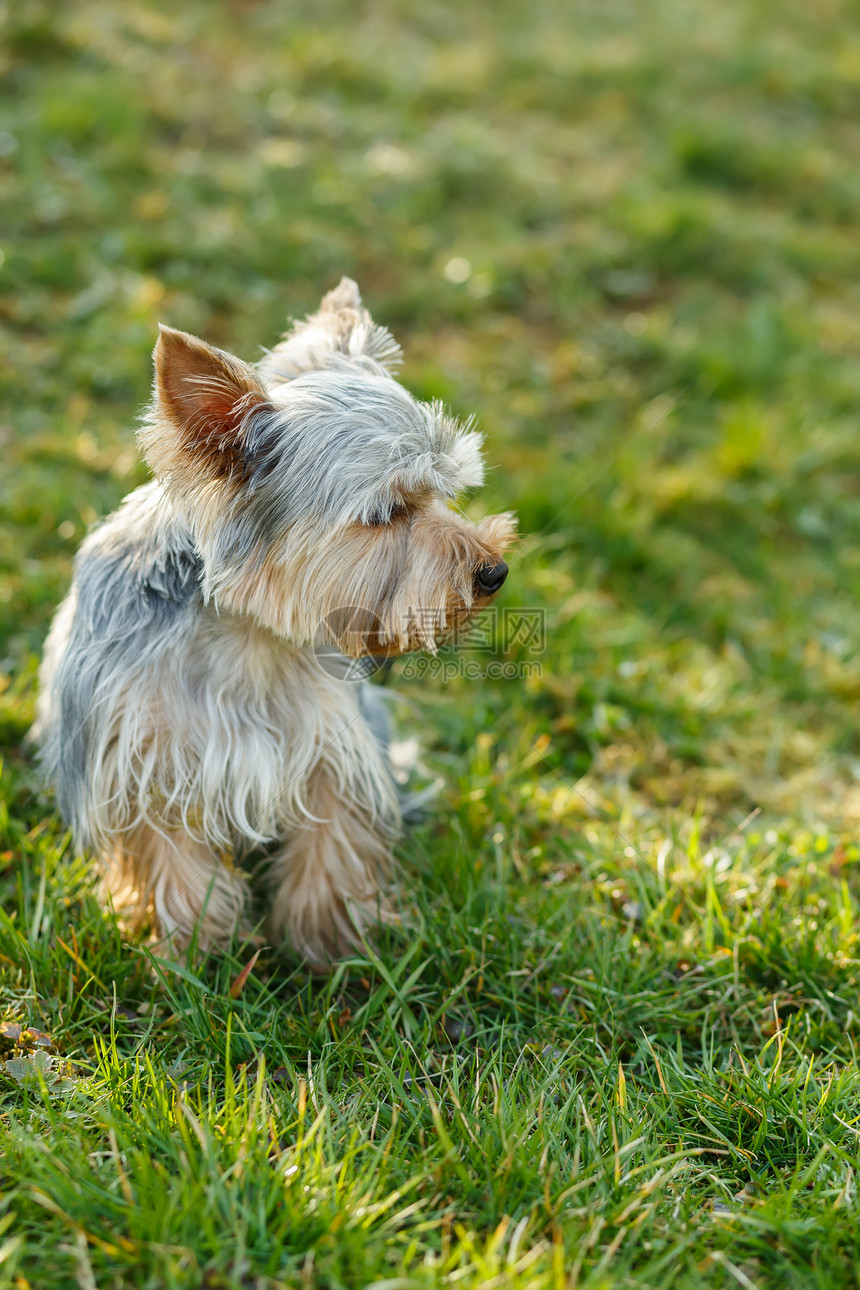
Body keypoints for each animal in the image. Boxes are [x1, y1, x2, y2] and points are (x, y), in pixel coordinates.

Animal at [33, 285, 515, 970]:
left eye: (445, 492)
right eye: (387, 511)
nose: (495, 571)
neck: (247, 634)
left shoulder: (331, 740)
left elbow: (333, 839)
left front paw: (332, 944)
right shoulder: (141, 757)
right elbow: (169, 861)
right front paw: (188, 954)